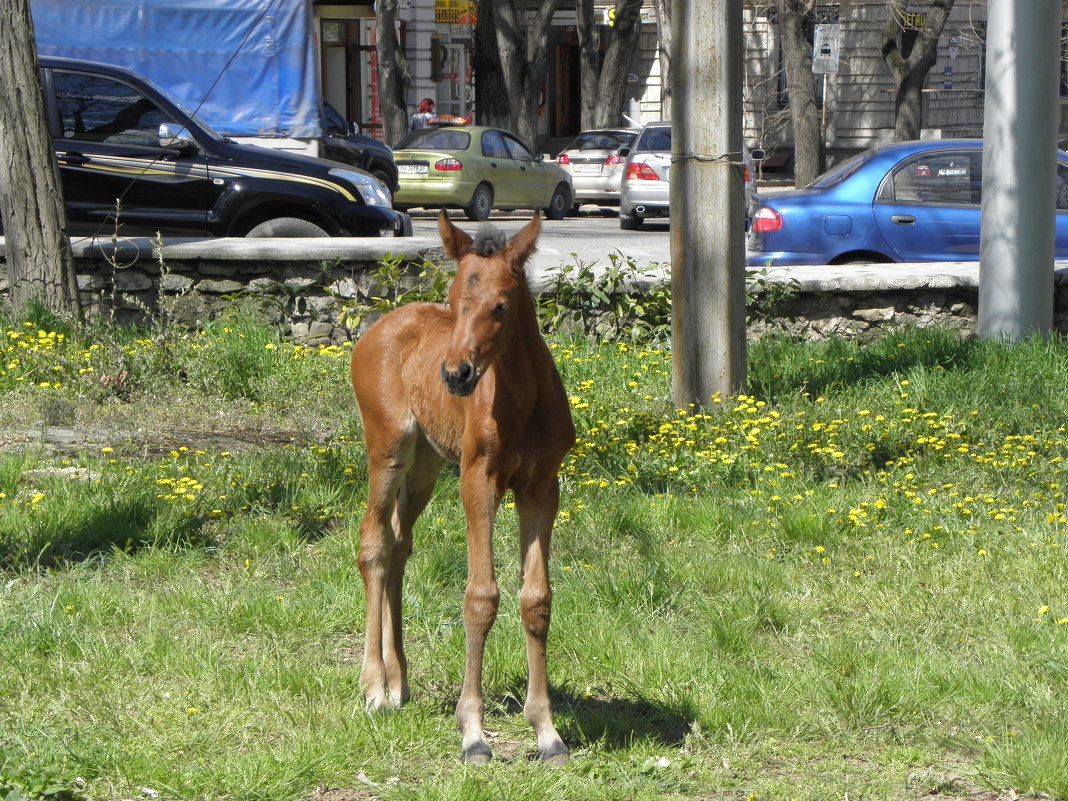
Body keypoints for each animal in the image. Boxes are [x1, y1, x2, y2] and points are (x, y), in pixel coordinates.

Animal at [350, 211, 576, 764]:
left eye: (501, 305)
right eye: (454, 302)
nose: (455, 375)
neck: (523, 402)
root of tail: (376, 328)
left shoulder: (542, 487)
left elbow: (536, 599)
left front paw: (547, 732)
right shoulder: (479, 480)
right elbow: (481, 597)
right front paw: (472, 731)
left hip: (427, 465)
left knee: (398, 545)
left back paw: (399, 683)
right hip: (388, 450)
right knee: (373, 543)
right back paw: (374, 687)